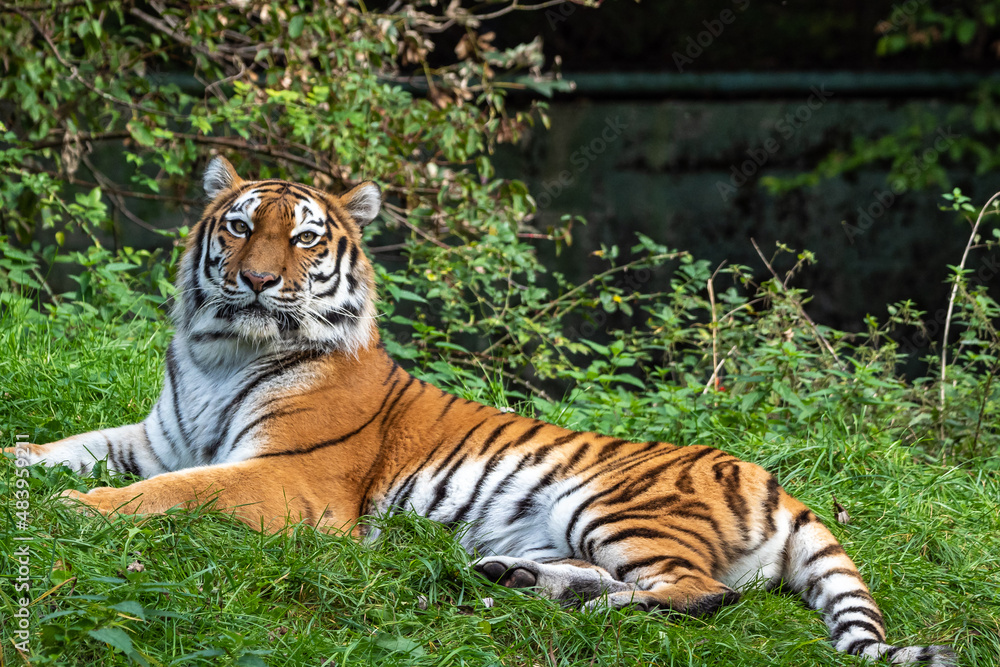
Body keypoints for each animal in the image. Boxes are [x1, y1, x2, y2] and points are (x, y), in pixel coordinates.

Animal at [8, 157, 955, 665]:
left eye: (305, 238)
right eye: (239, 226)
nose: (258, 280)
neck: (221, 350)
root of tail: (776, 481)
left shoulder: (288, 478)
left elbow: (172, 495)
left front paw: (75, 509)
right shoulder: (152, 439)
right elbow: (59, 446)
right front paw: (28, 470)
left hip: (610, 501)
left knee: (700, 593)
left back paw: (586, 606)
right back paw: (517, 580)